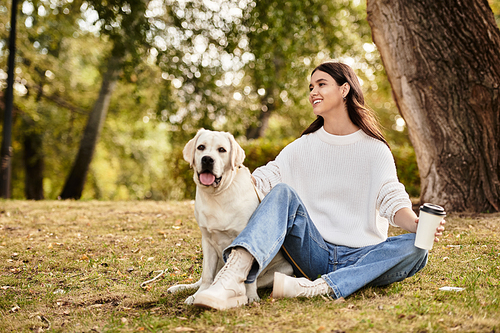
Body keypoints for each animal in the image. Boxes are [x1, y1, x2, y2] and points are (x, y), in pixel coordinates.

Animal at [168, 129, 292, 304]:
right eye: (201, 147)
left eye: (222, 150)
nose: (207, 159)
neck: (218, 194)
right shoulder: (207, 241)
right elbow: (206, 275)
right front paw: (197, 295)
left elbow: (249, 276)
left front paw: (251, 296)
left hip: (283, 269)